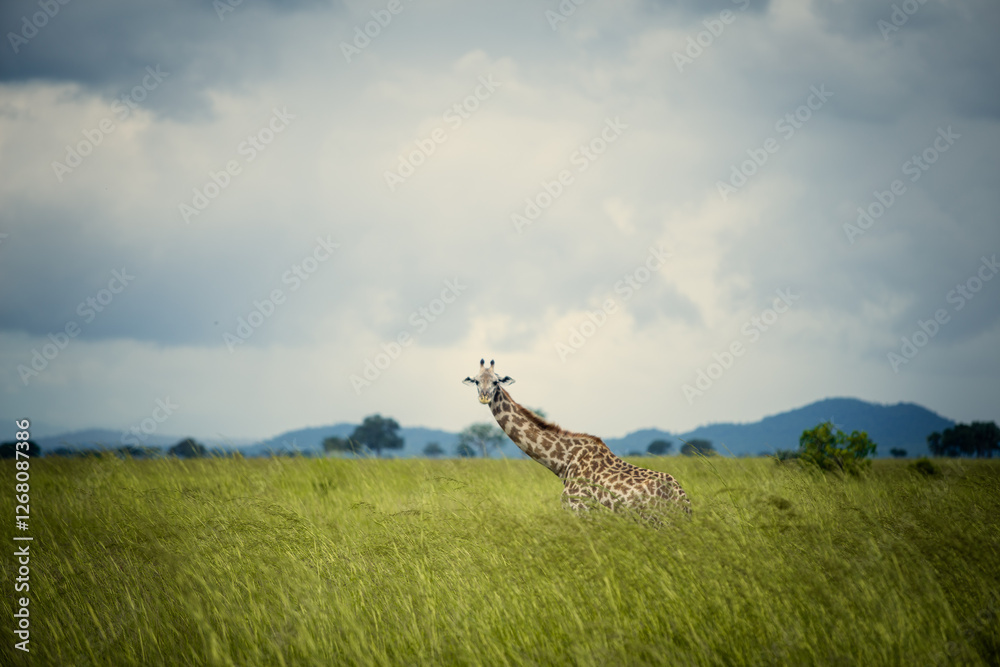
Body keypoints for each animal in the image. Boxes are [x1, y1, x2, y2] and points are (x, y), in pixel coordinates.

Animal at [463, 359, 691, 520]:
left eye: (495, 381)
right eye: (476, 381)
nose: (484, 396)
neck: (563, 462)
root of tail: (683, 500)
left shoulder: (580, 511)